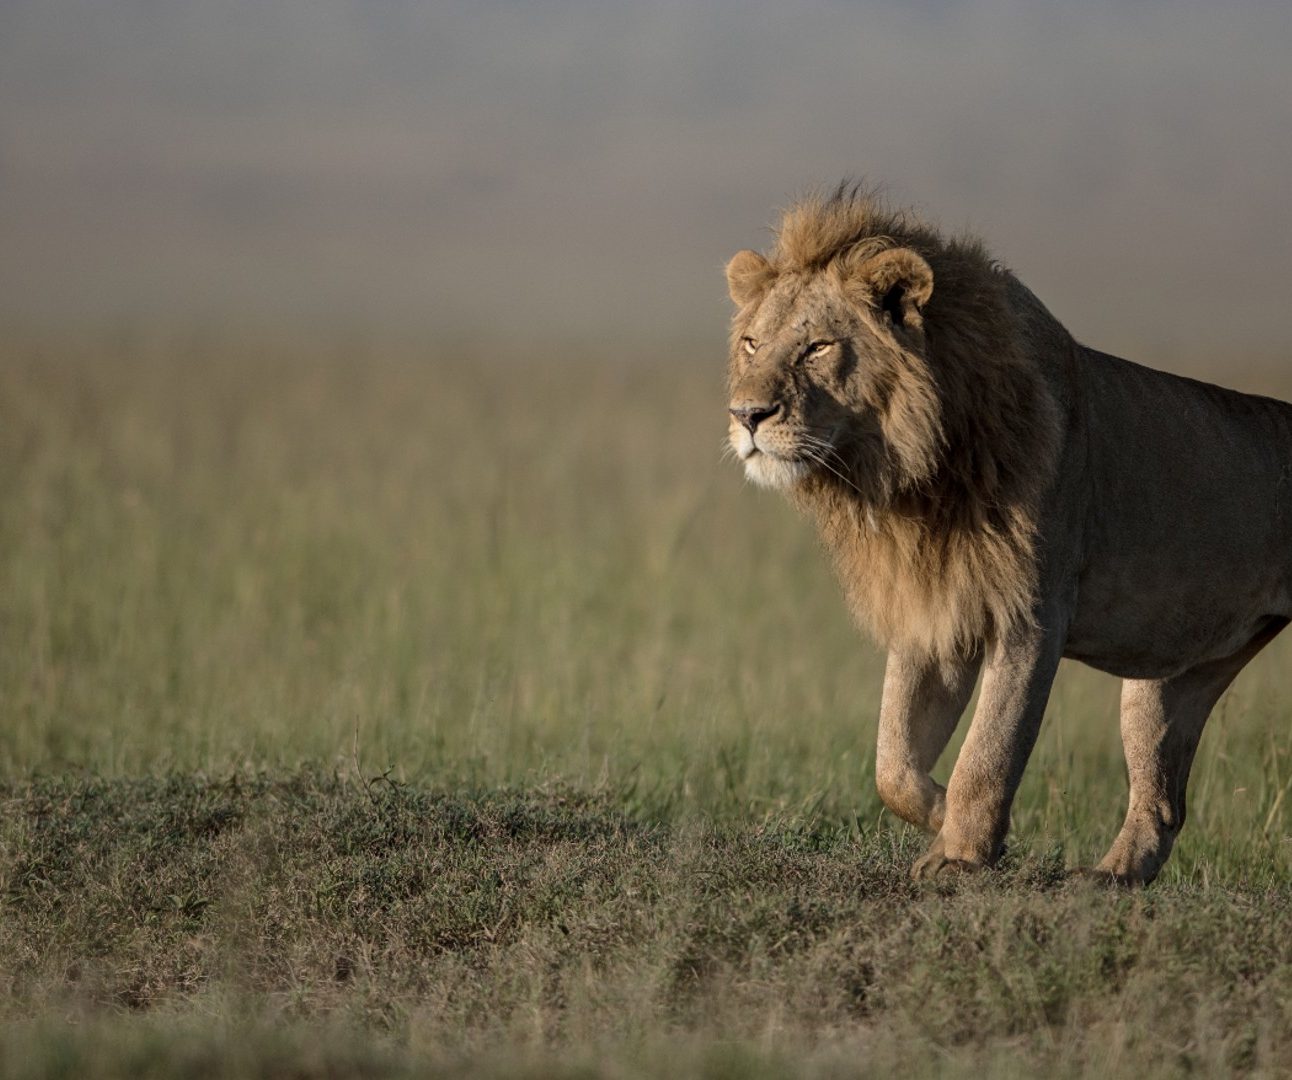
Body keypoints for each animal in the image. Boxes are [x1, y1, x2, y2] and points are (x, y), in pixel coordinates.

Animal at [723, 180, 1292, 883]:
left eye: (817, 348)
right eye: (752, 343)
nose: (746, 414)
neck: (912, 475)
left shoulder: (1032, 616)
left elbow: (989, 751)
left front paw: (963, 855)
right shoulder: (934, 614)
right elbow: (892, 764)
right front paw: (949, 825)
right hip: (1172, 677)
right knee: (1162, 801)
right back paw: (1109, 880)